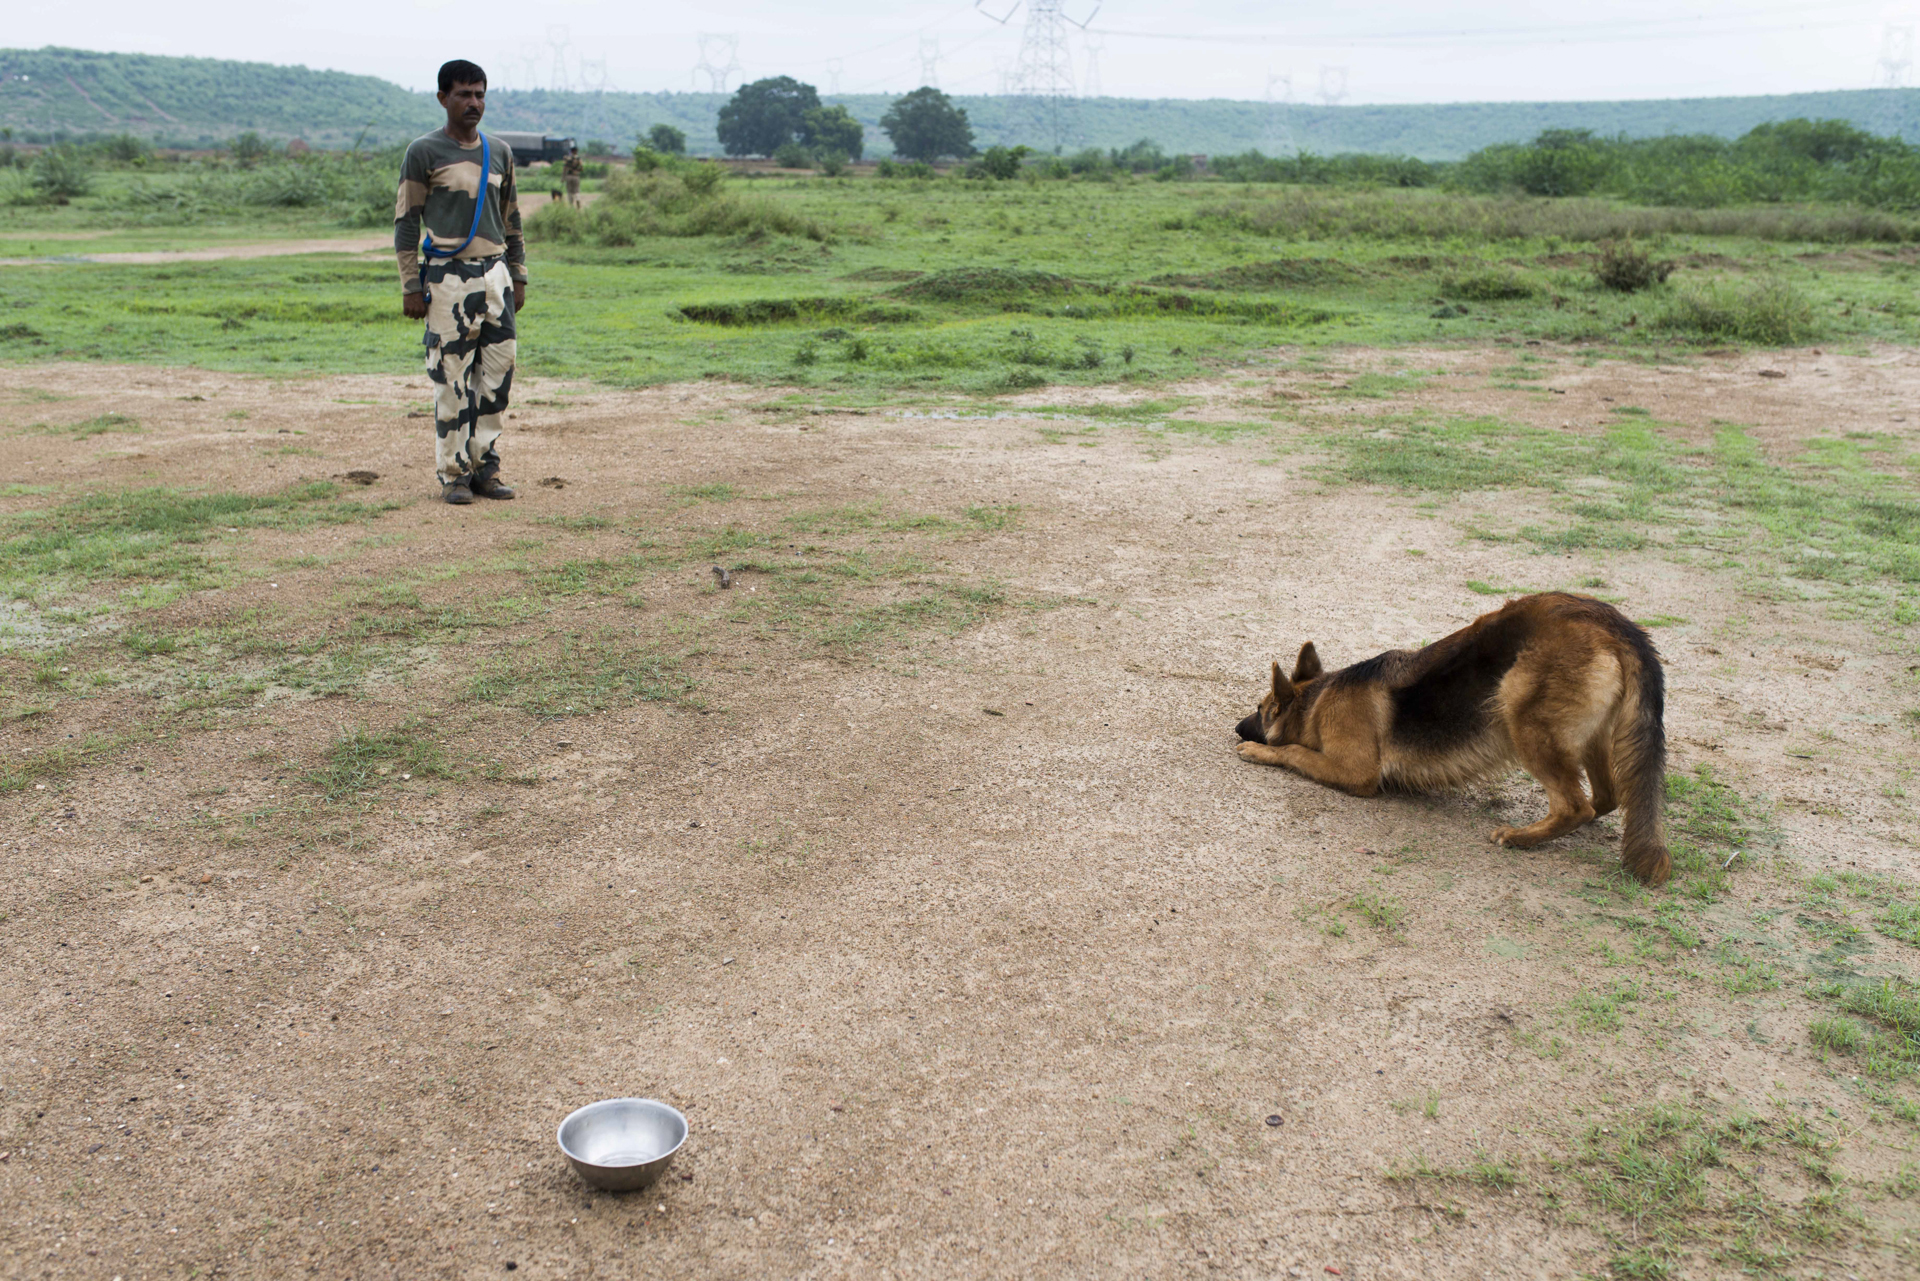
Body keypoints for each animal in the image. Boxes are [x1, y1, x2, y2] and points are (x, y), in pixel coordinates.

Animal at [1244, 595, 1666, 887]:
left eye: (1261, 708)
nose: (1236, 728)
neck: (1318, 699)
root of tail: (1612, 623)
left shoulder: (1355, 772)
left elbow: (1295, 751)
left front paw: (1259, 750)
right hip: (1591, 737)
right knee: (1604, 799)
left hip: (1521, 713)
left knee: (1575, 807)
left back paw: (1520, 837)